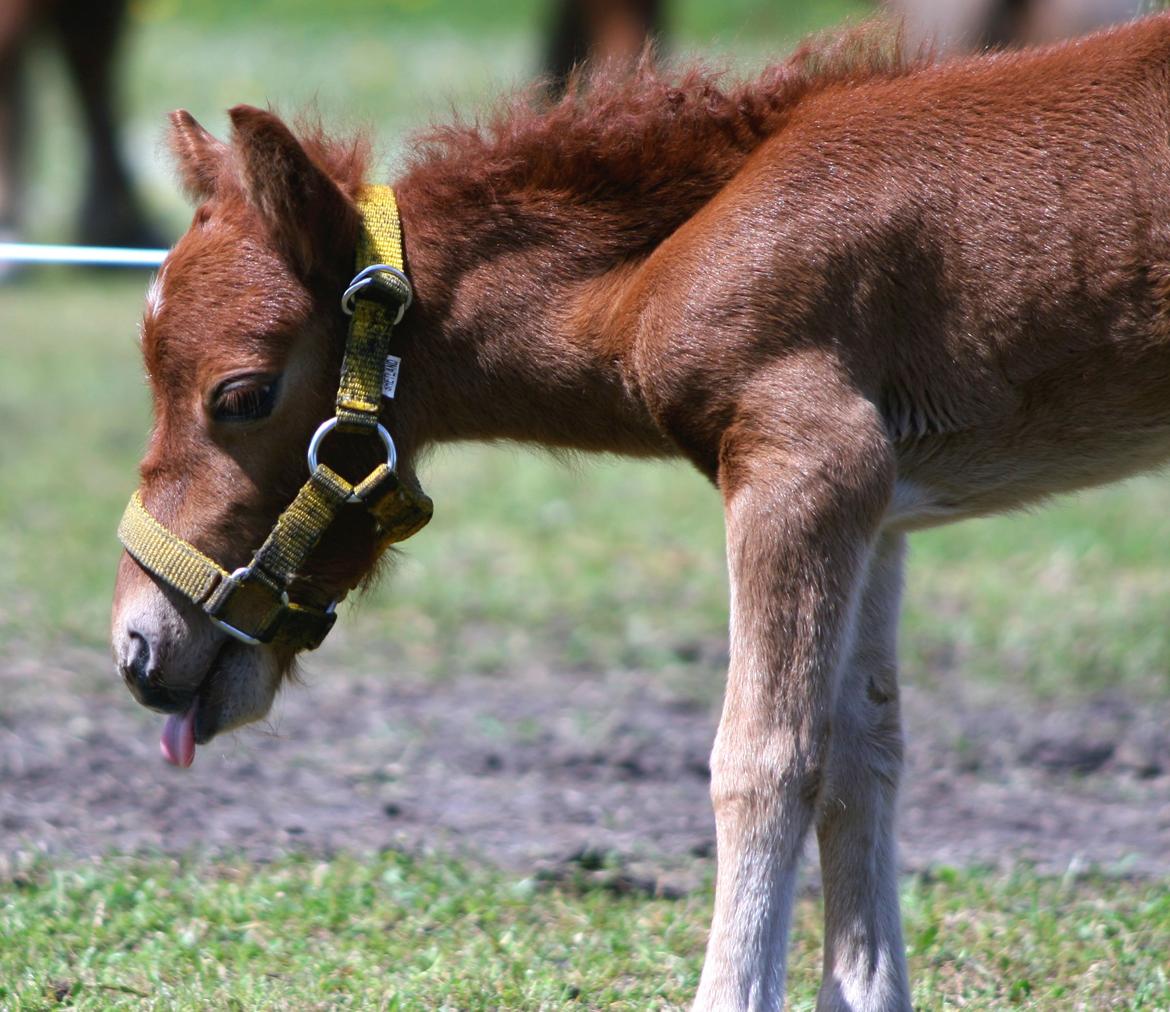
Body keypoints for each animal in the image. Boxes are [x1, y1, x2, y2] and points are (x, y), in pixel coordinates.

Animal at [111, 14, 1170, 1009]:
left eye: (242, 395)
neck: (682, 250)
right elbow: (862, 758)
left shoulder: (810, 465)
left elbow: (765, 760)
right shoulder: (884, 503)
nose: (137, 645)